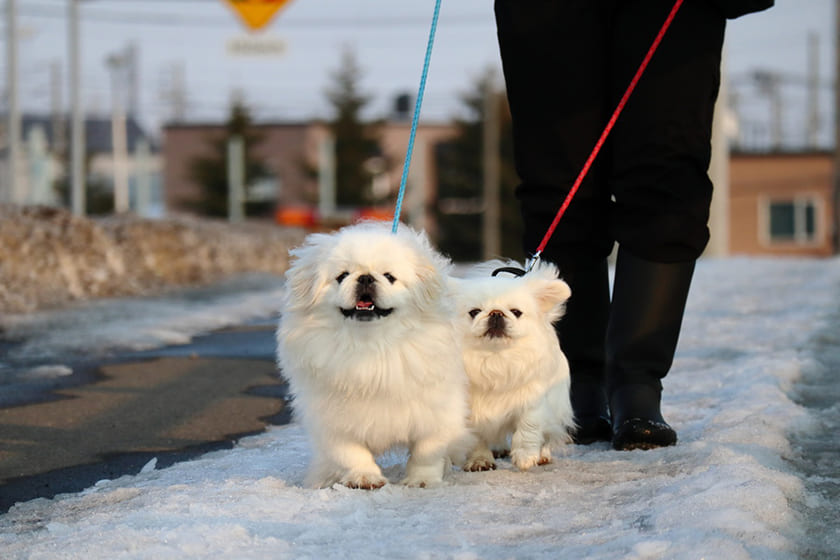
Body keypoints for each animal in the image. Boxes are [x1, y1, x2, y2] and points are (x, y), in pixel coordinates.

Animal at [276, 221, 472, 488]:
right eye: (342, 276)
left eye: (389, 277)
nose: (366, 277)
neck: (371, 347)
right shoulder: (333, 420)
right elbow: (350, 453)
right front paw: (365, 478)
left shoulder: (436, 414)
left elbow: (426, 452)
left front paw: (421, 481)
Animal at [452, 262, 576, 472]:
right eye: (474, 312)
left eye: (516, 312)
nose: (496, 313)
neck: (496, 358)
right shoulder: (470, 409)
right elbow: (476, 437)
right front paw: (480, 460)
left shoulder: (532, 400)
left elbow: (528, 427)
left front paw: (526, 456)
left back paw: (542, 455)